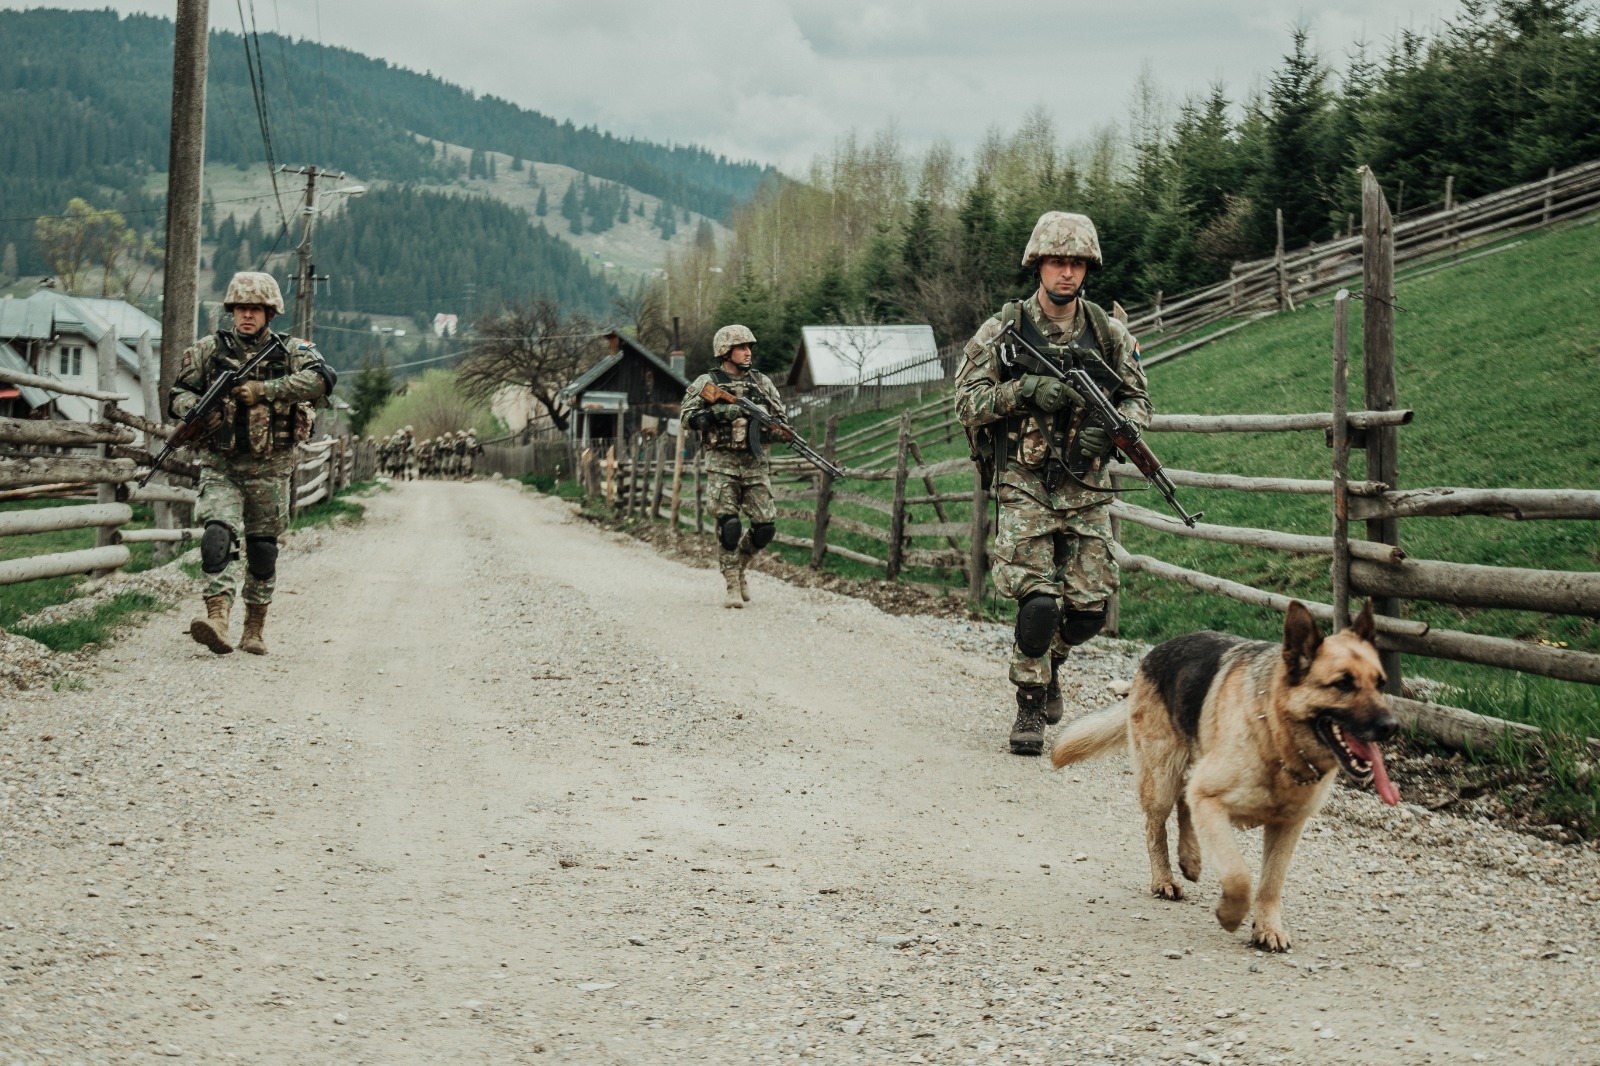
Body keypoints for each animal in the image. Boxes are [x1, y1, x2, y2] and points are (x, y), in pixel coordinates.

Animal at [1049, 598, 1401, 947]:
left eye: (1381, 684)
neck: (1275, 736)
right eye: (1342, 684)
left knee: (1184, 802)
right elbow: (1238, 875)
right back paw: (1164, 878)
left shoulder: (1287, 825)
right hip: (1162, 779)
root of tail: (1156, 651)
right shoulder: (1212, 803)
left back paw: (1190, 858)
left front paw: (1268, 927)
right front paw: (1231, 915)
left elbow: (1271, 882)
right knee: (1156, 825)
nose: (1392, 727)